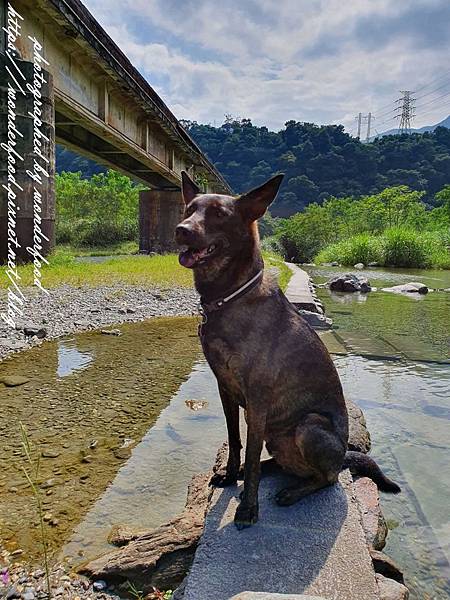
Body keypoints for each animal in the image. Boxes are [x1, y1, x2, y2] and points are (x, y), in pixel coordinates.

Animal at [174, 170, 400, 528]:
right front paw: (230, 475)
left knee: (327, 479)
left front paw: (248, 509)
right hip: (277, 435)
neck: (228, 298)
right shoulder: (226, 389)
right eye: (189, 210)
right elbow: (236, 442)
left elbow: (252, 455)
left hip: (308, 427)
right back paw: (259, 472)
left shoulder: (257, 400)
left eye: (219, 214)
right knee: (281, 463)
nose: (181, 230)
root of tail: (343, 455)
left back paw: (293, 492)